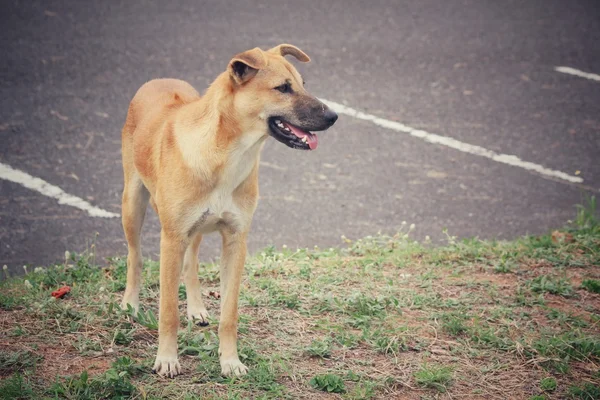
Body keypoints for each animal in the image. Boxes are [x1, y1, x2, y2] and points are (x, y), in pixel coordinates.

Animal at [119, 44, 338, 378]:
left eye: (303, 84)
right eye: (283, 88)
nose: (333, 116)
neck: (225, 155)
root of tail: (158, 80)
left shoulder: (236, 241)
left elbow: (229, 314)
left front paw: (230, 361)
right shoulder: (172, 239)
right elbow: (168, 312)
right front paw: (167, 358)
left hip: (193, 231)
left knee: (190, 264)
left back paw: (196, 307)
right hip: (133, 205)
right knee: (135, 257)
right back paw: (130, 304)